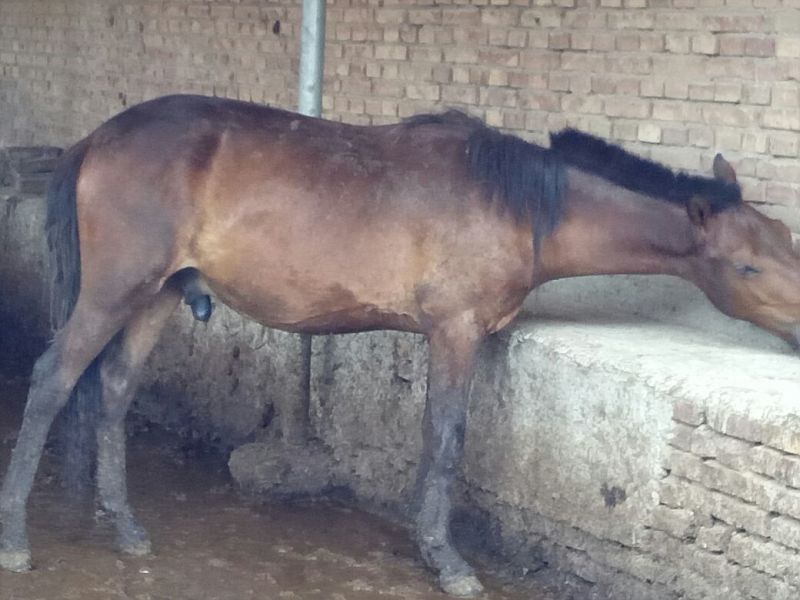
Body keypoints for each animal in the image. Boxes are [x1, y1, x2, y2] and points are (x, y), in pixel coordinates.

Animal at [2, 94, 800, 597]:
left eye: (786, 240)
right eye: (747, 267)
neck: (517, 204)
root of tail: (100, 138)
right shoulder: (455, 333)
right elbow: (445, 439)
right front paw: (445, 559)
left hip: (159, 295)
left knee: (112, 389)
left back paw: (126, 527)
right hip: (114, 291)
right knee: (51, 381)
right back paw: (17, 538)